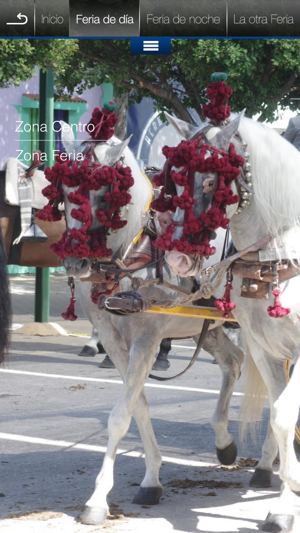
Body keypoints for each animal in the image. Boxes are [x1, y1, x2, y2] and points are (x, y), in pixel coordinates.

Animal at [162, 113, 300, 532]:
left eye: (211, 181)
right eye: (174, 179)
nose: (176, 260)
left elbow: (285, 415)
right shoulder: (264, 346)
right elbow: (280, 417)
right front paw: (286, 498)